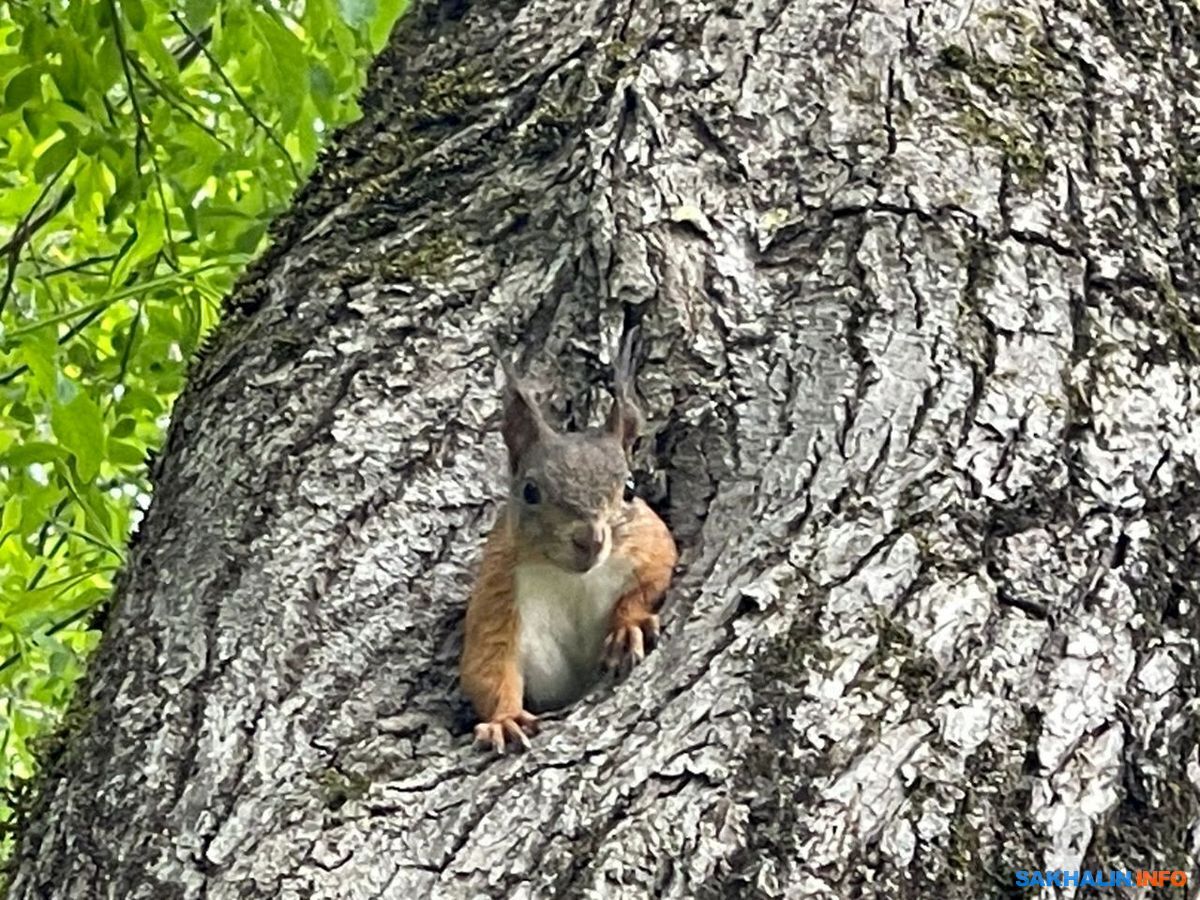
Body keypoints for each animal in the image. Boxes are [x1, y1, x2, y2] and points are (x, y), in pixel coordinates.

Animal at [458, 333, 681, 753]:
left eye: (630, 489)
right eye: (530, 492)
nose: (589, 540)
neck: (572, 578)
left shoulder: (650, 546)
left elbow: (650, 582)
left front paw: (629, 627)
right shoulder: (498, 590)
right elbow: (488, 666)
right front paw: (505, 719)